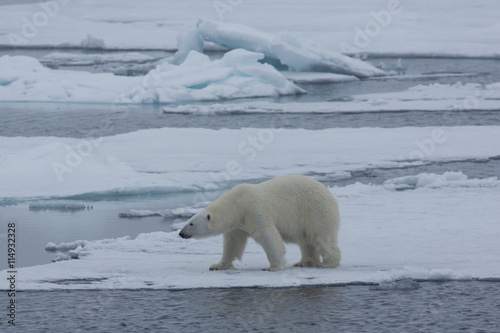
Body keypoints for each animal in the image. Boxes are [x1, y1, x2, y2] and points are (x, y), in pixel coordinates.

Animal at [179, 174, 340, 270]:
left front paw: (273, 267)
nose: (181, 233)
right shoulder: (237, 225)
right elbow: (232, 244)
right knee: (306, 241)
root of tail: (328, 193)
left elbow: (268, 236)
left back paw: (327, 263)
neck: (238, 204)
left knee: (321, 237)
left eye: (191, 223)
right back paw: (303, 262)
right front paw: (217, 265)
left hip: (314, 210)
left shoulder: (255, 211)